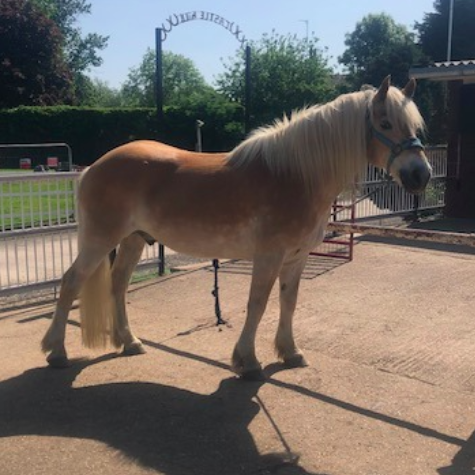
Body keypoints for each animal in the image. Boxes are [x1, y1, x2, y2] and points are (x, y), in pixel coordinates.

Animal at [42, 76, 434, 382]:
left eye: (415, 127)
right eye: (385, 124)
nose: (421, 175)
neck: (295, 175)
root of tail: (93, 167)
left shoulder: (296, 258)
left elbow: (288, 302)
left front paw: (290, 352)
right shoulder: (269, 256)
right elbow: (257, 304)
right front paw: (247, 361)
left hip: (132, 241)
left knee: (118, 285)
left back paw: (130, 342)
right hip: (99, 240)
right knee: (71, 282)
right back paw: (57, 351)